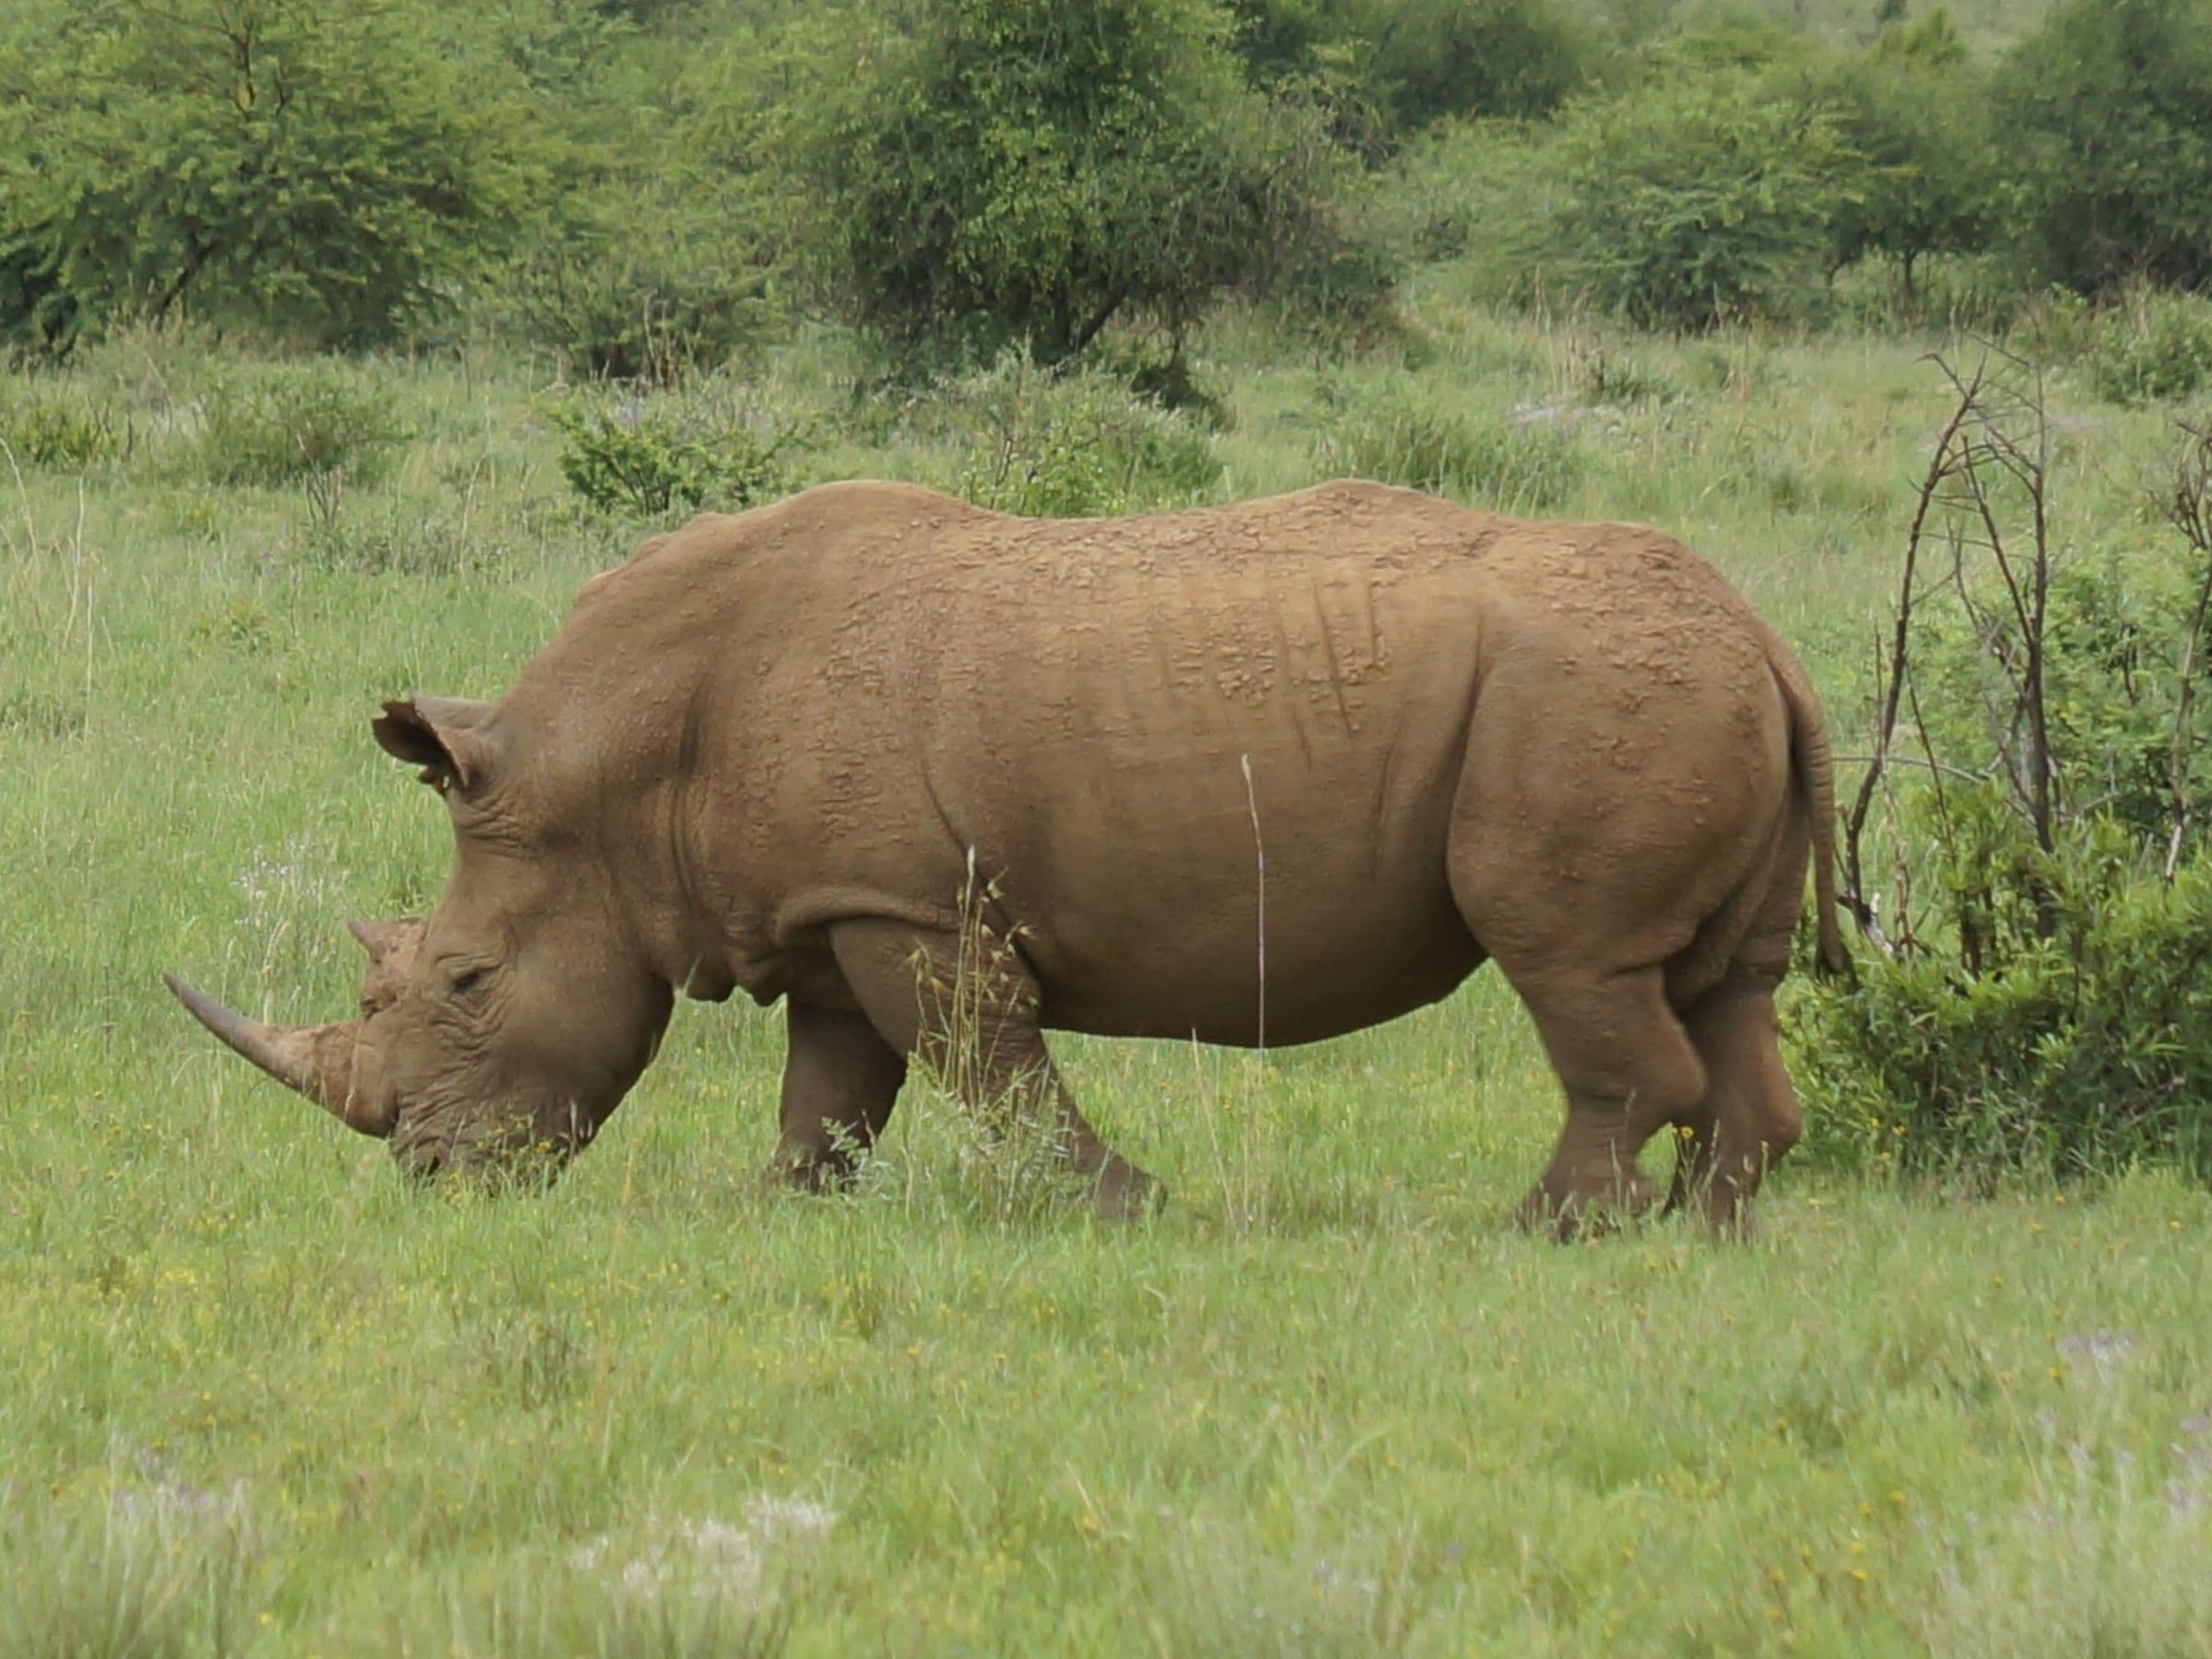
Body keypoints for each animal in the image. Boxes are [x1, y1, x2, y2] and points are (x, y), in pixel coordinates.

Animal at [169, 479, 1844, 1233]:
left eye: (459, 981)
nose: (432, 1174)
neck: (611, 768)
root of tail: (1766, 636)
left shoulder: (903, 902)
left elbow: (989, 1064)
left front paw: (1130, 1212)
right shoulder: (831, 903)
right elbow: (835, 1088)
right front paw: (788, 1212)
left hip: (1590, 697)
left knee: (1570, 962)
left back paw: (1546, 1230)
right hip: (1669, 685)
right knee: (1721, 987)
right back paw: (1705, 1228)